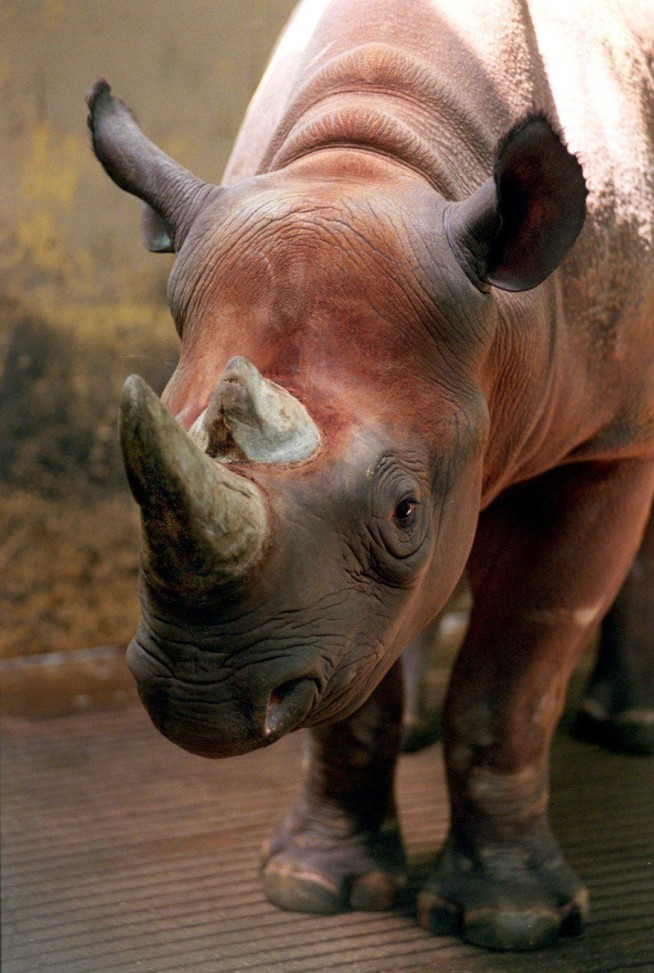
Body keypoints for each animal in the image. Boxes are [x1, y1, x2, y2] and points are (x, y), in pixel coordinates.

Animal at [87, 0, 654, 952]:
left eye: (405, 511)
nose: (196, 698)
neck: (375, 157)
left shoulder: (598, 444)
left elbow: (512, 675)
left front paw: (512, 920)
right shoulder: (327, 596)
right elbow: (356, 673)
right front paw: (318, 886)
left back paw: (631, 728)